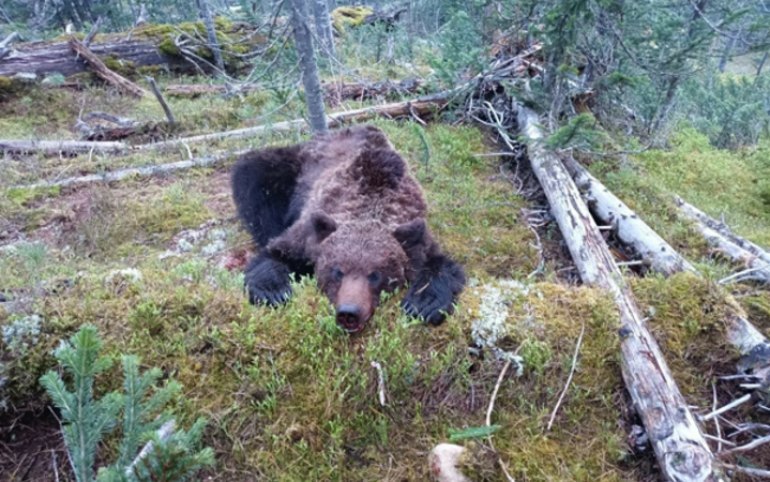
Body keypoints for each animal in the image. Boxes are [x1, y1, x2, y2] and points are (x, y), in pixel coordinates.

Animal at [231, 124, 465, 333]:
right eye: (337, 271)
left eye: (375, 275)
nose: (349, 312)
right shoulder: (309, 233)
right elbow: (275, 253)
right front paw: (273, 291)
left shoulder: (417, 234)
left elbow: (442, 266)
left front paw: (423, 304)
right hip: (292, 168)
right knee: (255, 175)